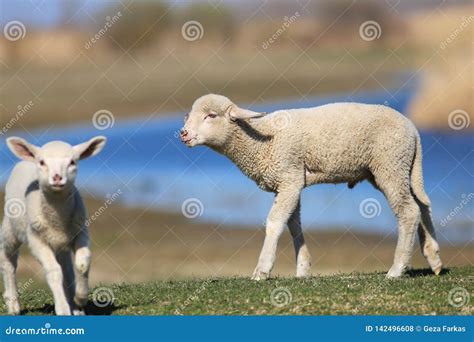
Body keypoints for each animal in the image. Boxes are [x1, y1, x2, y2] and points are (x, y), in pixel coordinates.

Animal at [0, 136, 106, 316]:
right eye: (42, 162)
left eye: (72, 162)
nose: (57, 177)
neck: (57, 220)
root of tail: (26, 160)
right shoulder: (36, 240)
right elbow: (54, 271)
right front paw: (62, 309)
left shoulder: (80, 232)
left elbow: (82, 264)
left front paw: (80, 299)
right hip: (10, 230)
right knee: (8, 261)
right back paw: (13, 304)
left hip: (60, 246)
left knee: (68, 268)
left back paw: (75, 305)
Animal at [180, 92, 442, 280]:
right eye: (188, 115)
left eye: (211, 116)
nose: (183, 133)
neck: (262, 140)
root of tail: (413, 129)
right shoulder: (290, 182)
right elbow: (293, 225)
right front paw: (303, 269)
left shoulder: (289, 177)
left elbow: (275, 223)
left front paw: (262, 270)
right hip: (397, 168)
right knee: (422, 204)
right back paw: (434, 258)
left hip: (390, 163)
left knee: (409, 212)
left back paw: (396, 270)